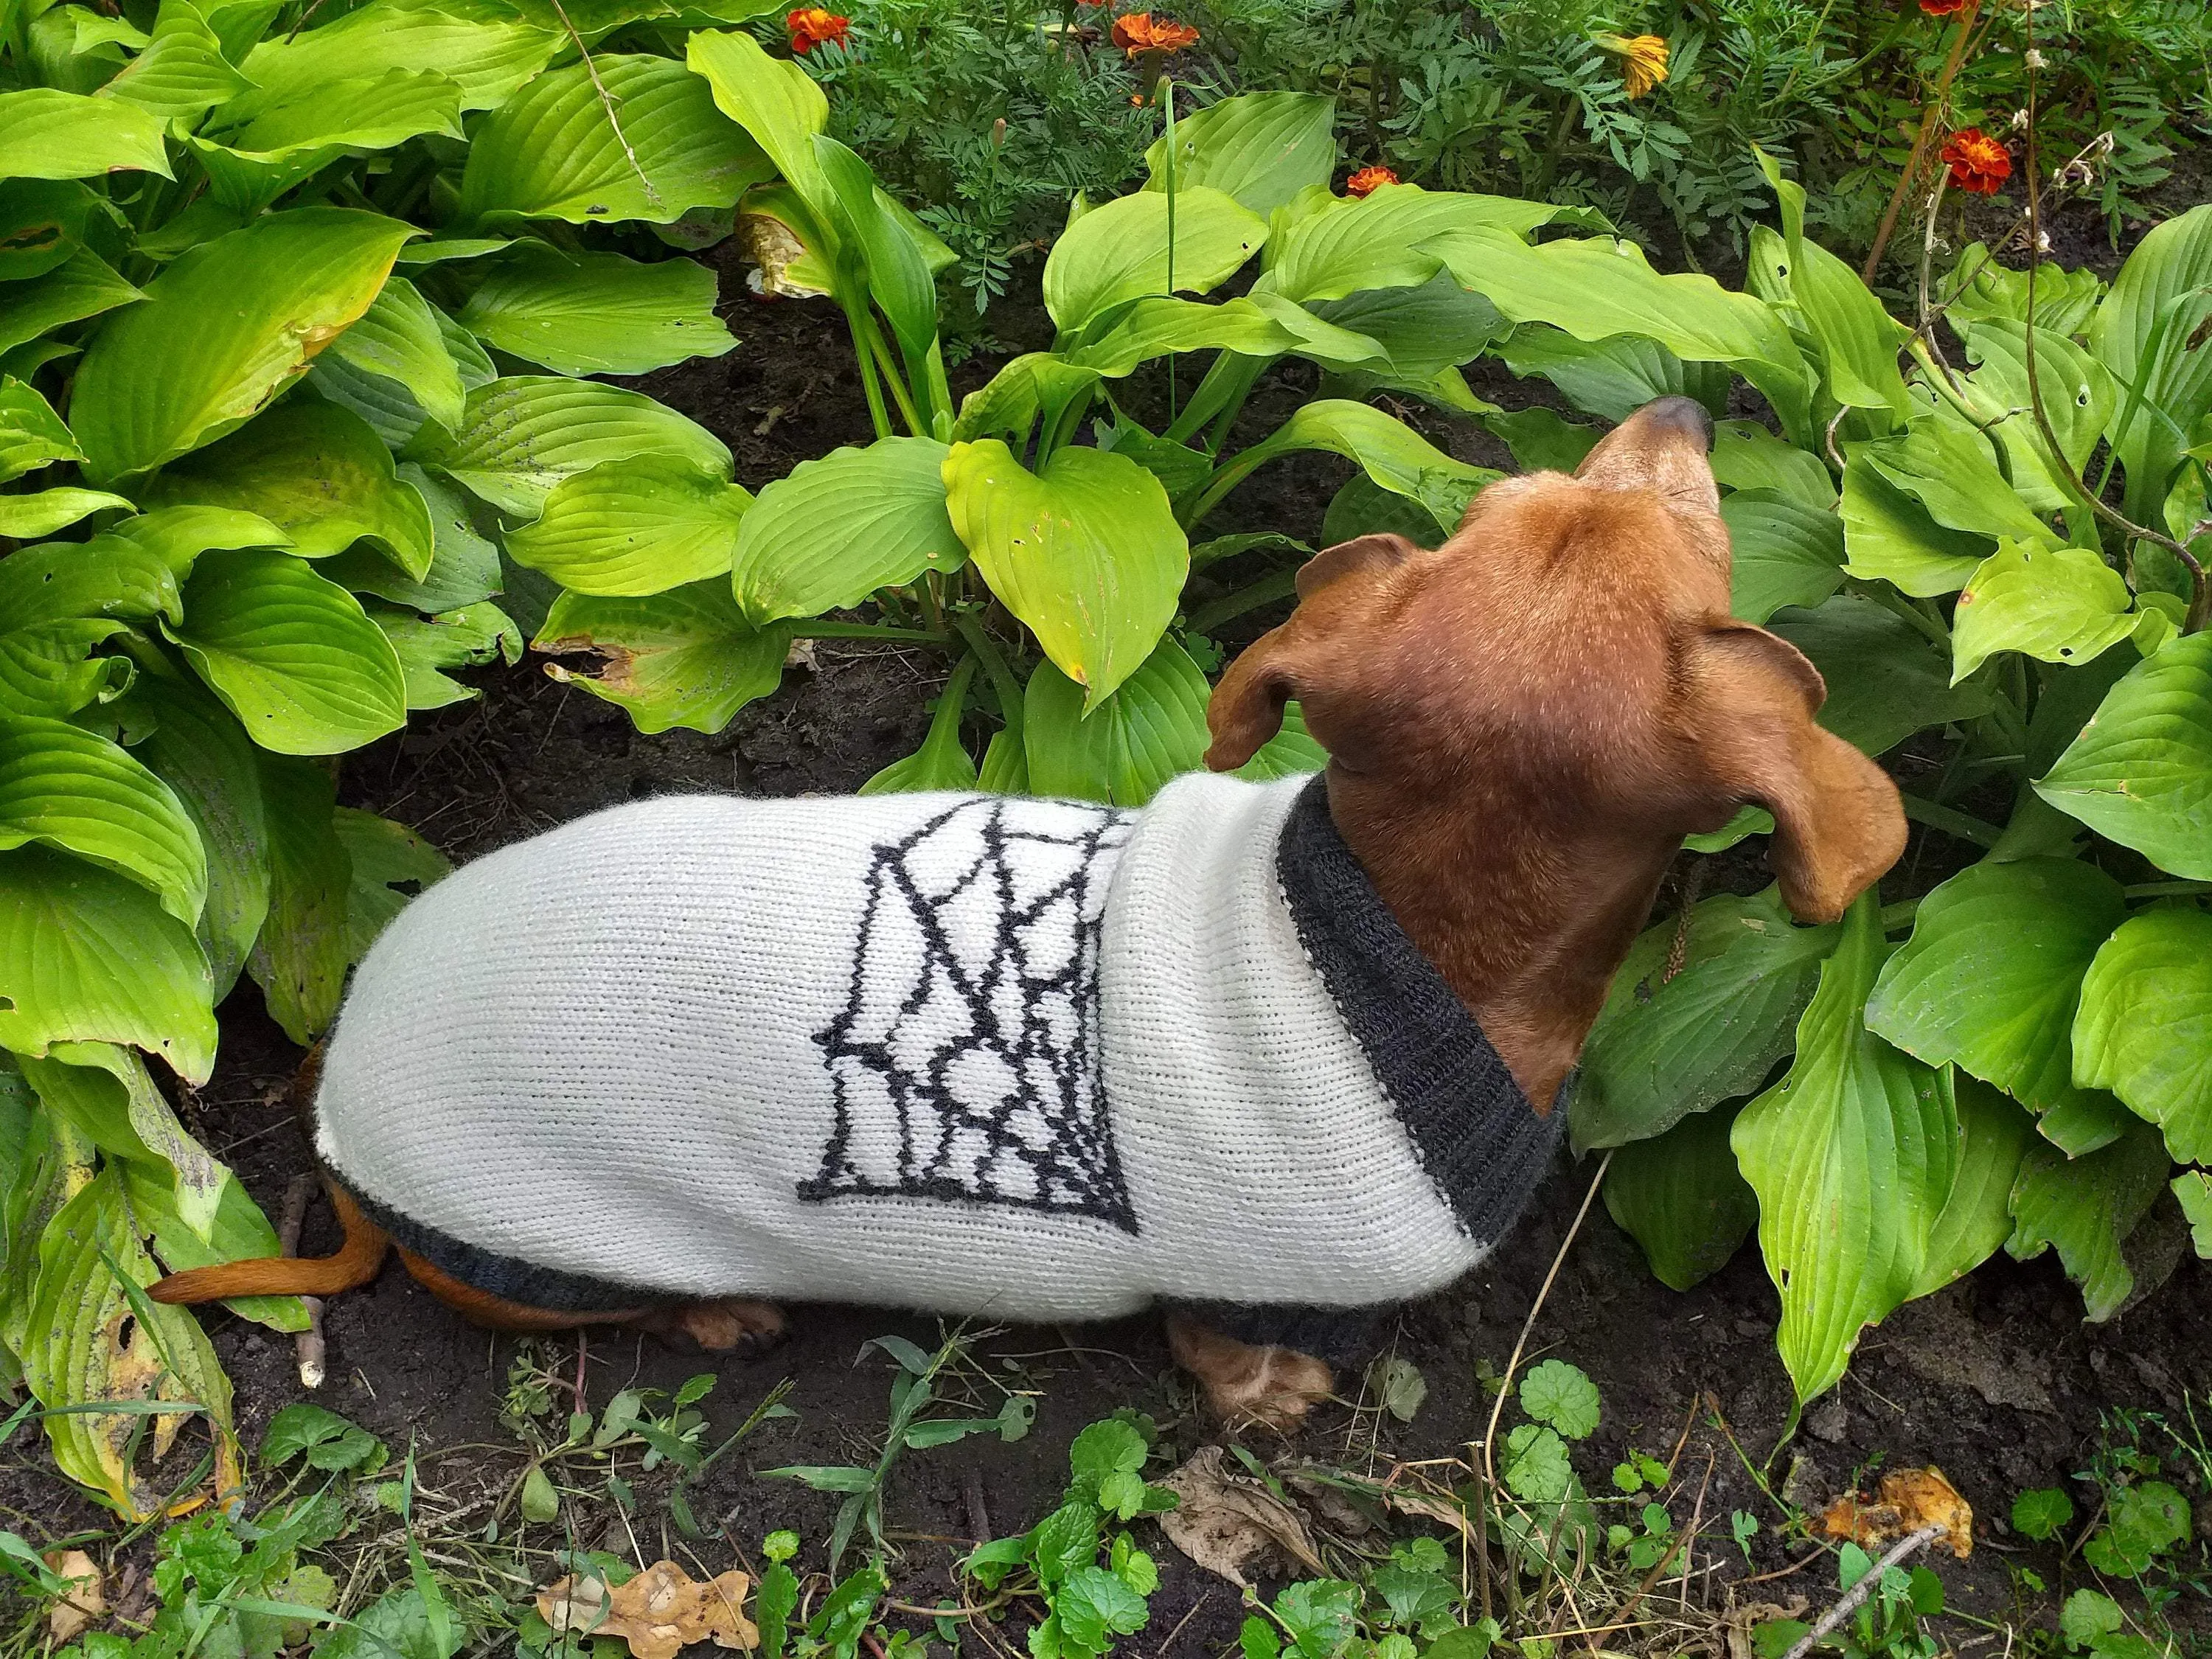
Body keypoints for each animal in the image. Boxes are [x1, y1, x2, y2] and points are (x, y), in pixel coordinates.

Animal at [151, 400, 1902, 1433]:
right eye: (1703, 539)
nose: (1683, 404)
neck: (1391, 934)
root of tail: (343, 1116)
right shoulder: (1240, 1278)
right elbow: (1227, 1357)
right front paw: (1275, 1398)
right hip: (546, 1251)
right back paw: (720, 1310)